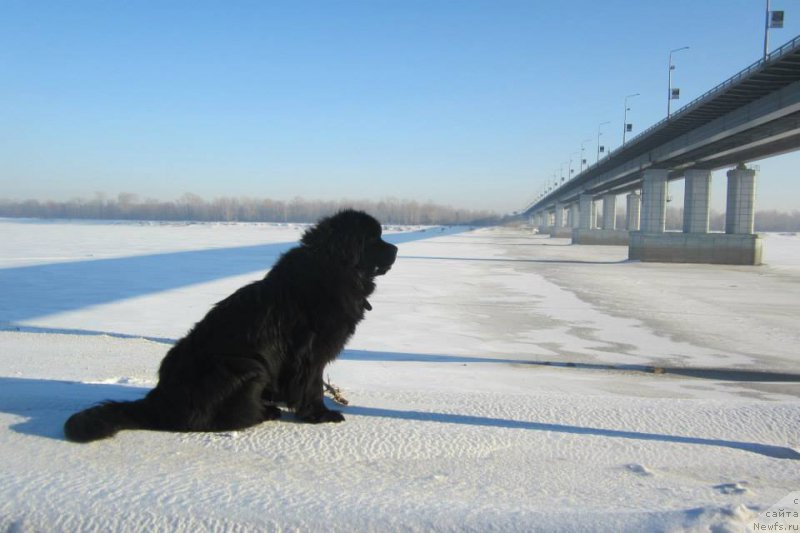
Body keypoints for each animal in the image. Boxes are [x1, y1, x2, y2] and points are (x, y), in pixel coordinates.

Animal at [65, 210, 396, 442]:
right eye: (374, 239)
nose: (395, 250)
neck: (335, 269)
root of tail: (158, 401)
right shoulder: (310, 355)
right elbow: (311, 386)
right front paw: (320, 415)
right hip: (248, 367)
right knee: (206, 421)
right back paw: (265, 412)